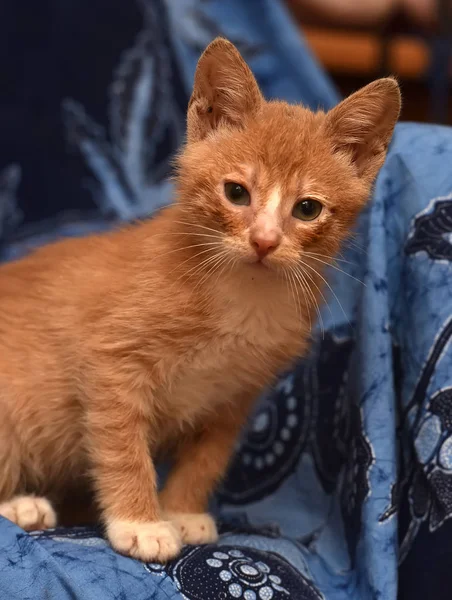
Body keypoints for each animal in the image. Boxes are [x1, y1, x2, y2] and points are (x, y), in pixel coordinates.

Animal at [0, 38, 400, 564]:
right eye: (236, 193)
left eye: (307, 208)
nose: (264, 241)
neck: (243, 294)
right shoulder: (111, 361)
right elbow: (123, 446)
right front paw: (141, 522)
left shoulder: (235, 395)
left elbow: (207, 459)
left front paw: (182, 511)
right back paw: (22, 506)